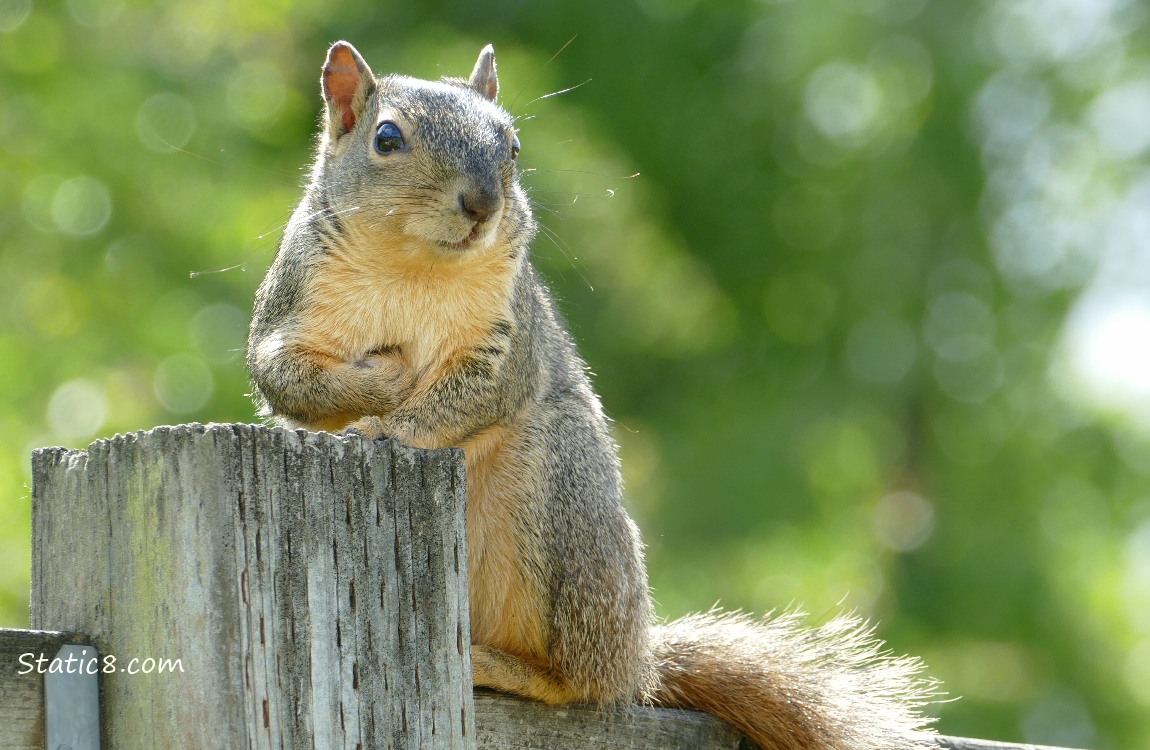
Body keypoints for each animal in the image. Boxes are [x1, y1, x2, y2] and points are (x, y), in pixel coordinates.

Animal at [247, 40, 939, 750]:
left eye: (513, 145)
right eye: (386, 138)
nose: (483, 202)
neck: (412, 267)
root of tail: (638, 662)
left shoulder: (509, 339)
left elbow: (473, 394)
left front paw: (387, 426)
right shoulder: (288, 309)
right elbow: (283, 374)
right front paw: (377, 382)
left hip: (558, 490)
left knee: (579, 682)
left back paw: (507, 669)